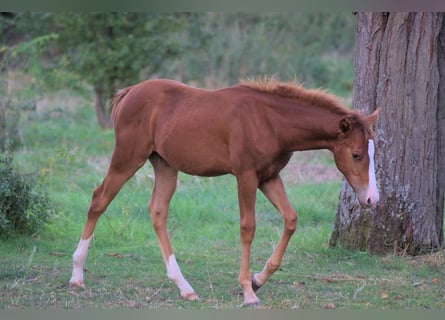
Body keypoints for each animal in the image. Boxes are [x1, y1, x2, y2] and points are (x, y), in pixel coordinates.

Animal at [69, 77, 378, 304]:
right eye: (356, 155)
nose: (371, 198)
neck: (270, 121)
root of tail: (130, 91)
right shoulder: (246, 176)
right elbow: (247, 227)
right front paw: (248, 292)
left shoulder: (269, 177)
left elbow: (290, 219)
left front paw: (258, 279)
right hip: (127, 157)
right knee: (99, 200)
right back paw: (76, 275)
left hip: (165, 165)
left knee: (157, 212)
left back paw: (184, 286)